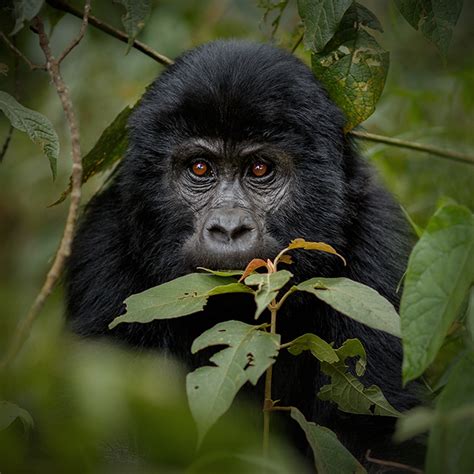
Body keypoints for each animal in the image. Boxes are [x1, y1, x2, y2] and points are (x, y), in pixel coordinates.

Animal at [65, 40, 418, 466]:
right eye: (200, 168)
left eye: (260, 168)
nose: (229, 228)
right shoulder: (104, 246)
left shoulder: (377, 249)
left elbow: (380, 436)